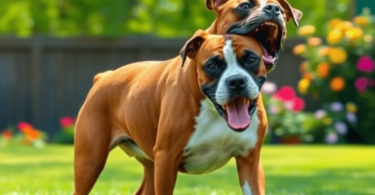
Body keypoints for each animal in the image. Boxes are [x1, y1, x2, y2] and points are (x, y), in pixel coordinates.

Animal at [74, 0, 302, 195]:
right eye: (212, 65)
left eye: (252, 59)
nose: (236, 81)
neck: (214, 110)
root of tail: (104, 76)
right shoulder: (166, 160)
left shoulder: (250, 162)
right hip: (90, 162)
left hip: (149, 166)